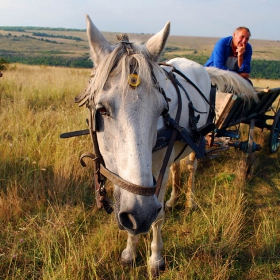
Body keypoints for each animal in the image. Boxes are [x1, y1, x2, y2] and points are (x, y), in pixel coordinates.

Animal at [77, 14, 256, 276]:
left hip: (196, 141)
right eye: (101, 109)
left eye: (162, 109)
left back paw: (189, 201)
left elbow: (158, 216)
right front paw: (130, 251)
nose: (140, 214)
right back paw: (173, 199)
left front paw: (156, 259)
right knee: (175, 169)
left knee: (191, 168)